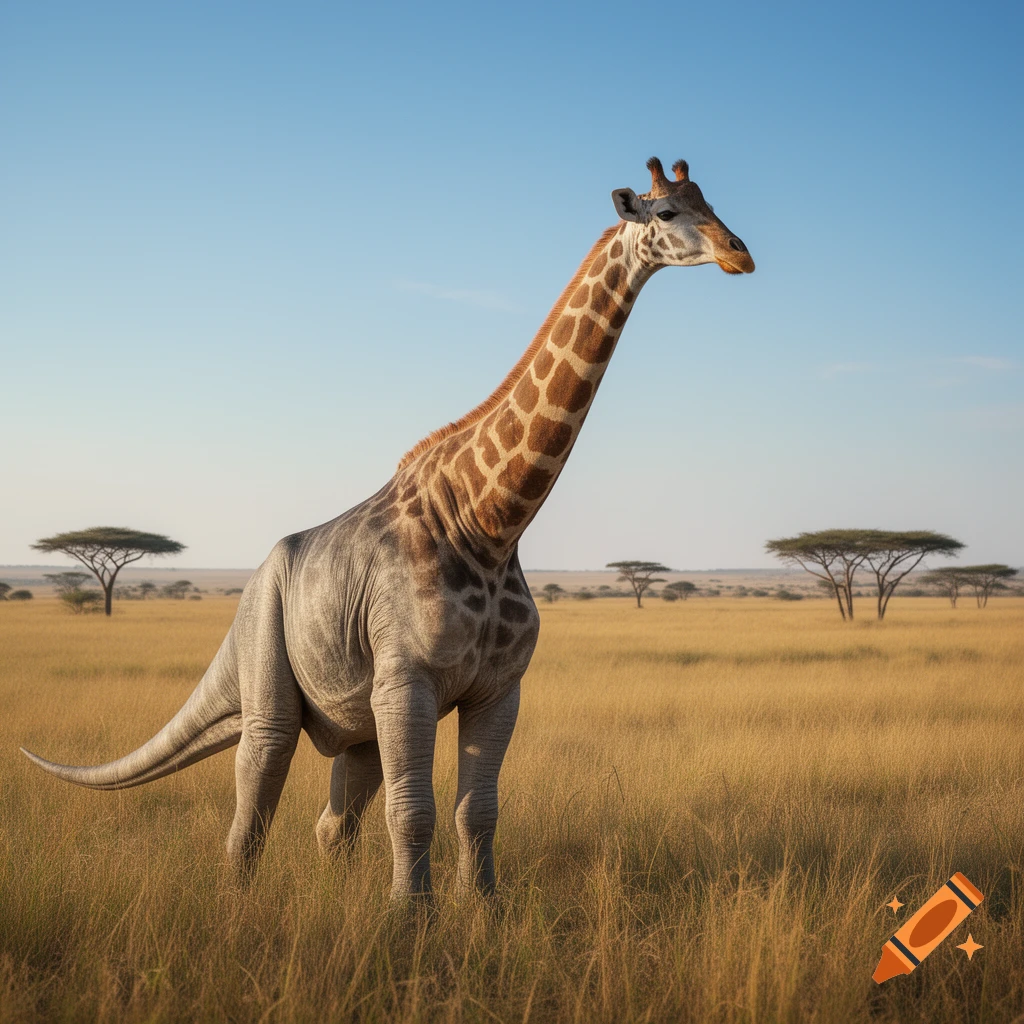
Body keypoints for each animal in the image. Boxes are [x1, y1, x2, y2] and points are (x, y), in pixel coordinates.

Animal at [22, 157, 754, 900]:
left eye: (711, 202)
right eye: (667, 213)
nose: (738, 254)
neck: (491, 523)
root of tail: (254, 579)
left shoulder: (498, 688)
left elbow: (475, 811)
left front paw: (480, 907)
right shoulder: (408, 680)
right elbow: (415, 811)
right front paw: (410, 915)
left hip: (354, 720)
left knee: (332, 820)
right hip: (267, 662)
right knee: (254, 797)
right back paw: (236, 902)